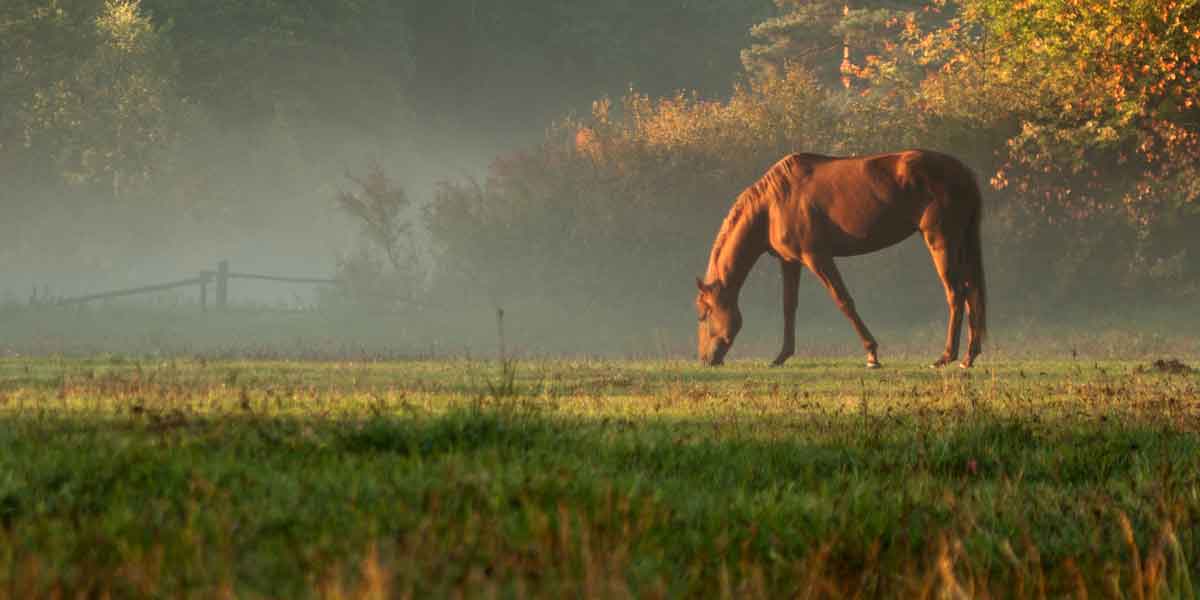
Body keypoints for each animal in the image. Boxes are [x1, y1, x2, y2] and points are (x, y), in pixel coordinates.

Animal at [695, 150, 987, 369]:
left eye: (704, 314)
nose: (706, 359)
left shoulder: (817, 258)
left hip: (941, 241)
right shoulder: (790, 262)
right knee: (971, 291)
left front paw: (872, 354)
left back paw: (946, 357)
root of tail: (964, 172)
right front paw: (781, 356)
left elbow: (843, 301)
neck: (773, 205)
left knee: (956, 293)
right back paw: (969, 357)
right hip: (961, 242)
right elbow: (789, 307)